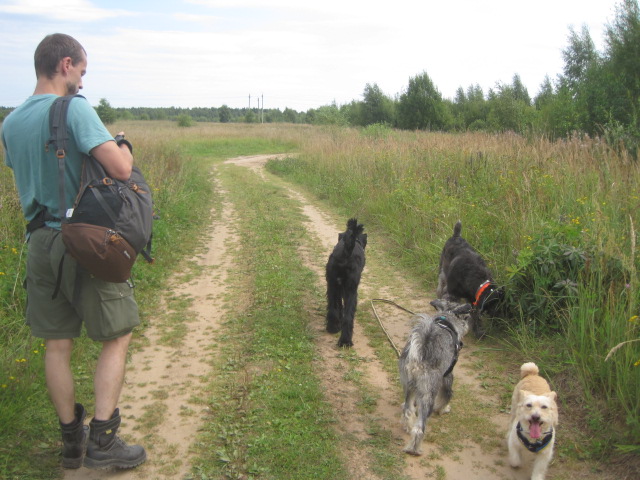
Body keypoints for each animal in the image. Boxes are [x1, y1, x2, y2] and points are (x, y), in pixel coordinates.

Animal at [325, 218, 367, 347]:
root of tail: (347, 252)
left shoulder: (337, 287)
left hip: (333, 285)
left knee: (334, 308)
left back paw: (335, 330)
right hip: (350, 291)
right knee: (347, 316)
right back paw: (344, 340)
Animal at [398, 299, 470, 455]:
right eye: (467, 317)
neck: (447, 320)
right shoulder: (448, 375)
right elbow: (447, 395)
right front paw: (444, 409)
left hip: (409, 385)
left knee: (408, 410)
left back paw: (408, 426)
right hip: (428, 393)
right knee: (420, 428)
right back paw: (414, 449)